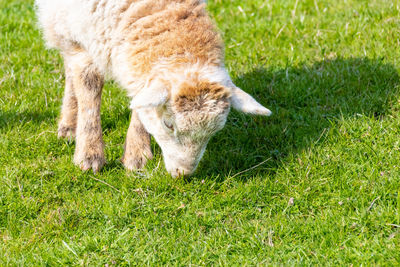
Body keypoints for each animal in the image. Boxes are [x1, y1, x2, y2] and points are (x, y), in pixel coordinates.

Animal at [35, 0, 272, 178]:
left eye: (215, 131)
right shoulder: (80, 35)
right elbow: (89, 89)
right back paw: (69, 123)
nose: (183, 173)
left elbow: (140, 103)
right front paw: (89, 154)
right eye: (168, 124)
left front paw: (137, 155)